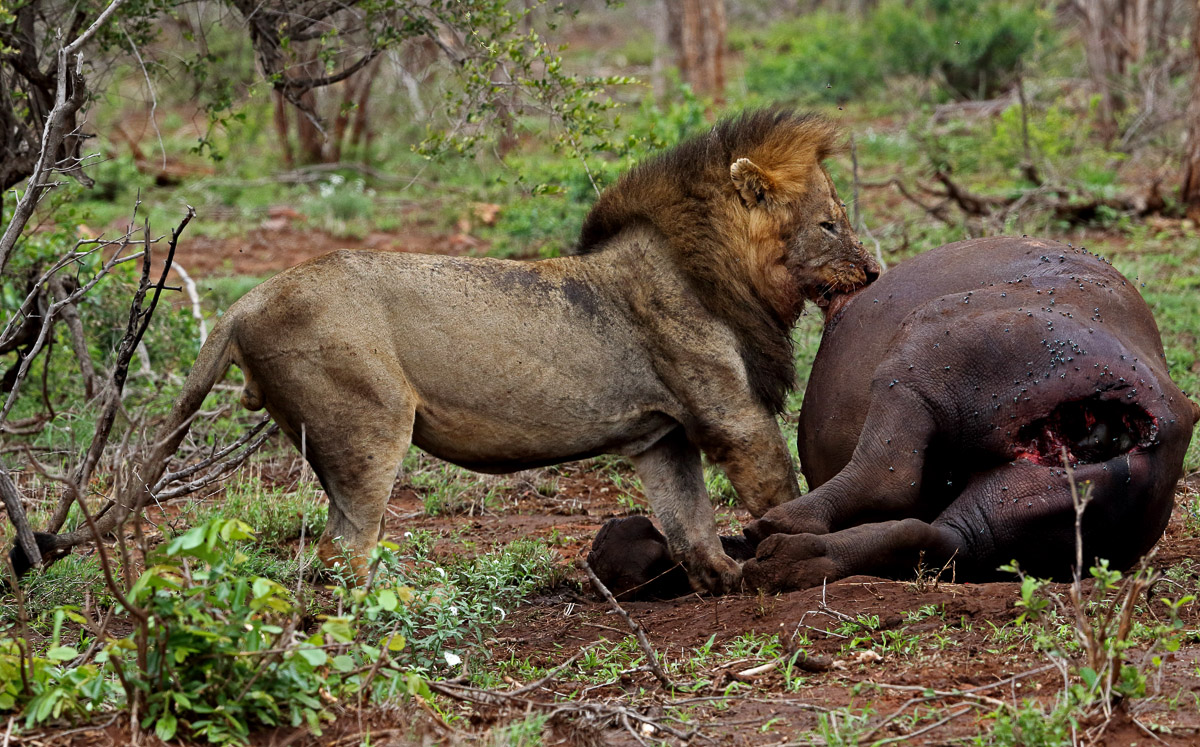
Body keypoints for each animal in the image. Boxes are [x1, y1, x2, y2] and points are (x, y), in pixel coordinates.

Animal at [13, 109, 879, 593]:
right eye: (831, 223)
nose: (873, 273)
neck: (718, 265)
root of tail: (245, 302)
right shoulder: (729, 414)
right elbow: (776, 490)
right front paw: (783, 563)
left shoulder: (661, 434)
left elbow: (689, 521)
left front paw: (725, 581)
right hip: (368, 427)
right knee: (343, 553)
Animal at [589, 237, 1199, 597]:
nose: (603, 545)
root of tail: (1155, 423)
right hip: (1010, 506)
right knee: (933, 535)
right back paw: (788, 560)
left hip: (931, 349)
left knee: (889, 476)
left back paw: (780, 532)